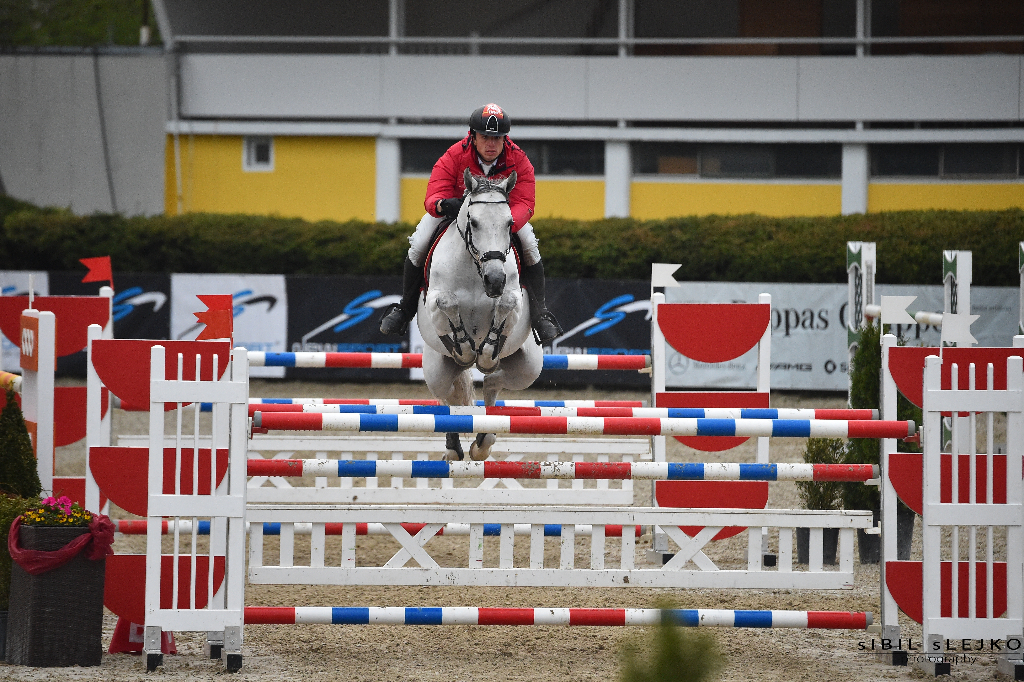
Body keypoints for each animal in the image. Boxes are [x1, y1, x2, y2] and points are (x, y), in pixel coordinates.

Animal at [415, 166, 544, 458]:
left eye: (509, 223)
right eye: (473, 222)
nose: (494, 280)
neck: (474, 270)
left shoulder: (514, 300)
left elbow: (505, 305)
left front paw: (485, 354)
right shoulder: (435, 303)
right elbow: (449, 303)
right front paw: (464, 348)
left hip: (528, 367)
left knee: (492, 381)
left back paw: (484, 441)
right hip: (436, 370)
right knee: (448, 398)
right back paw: (454, 448)